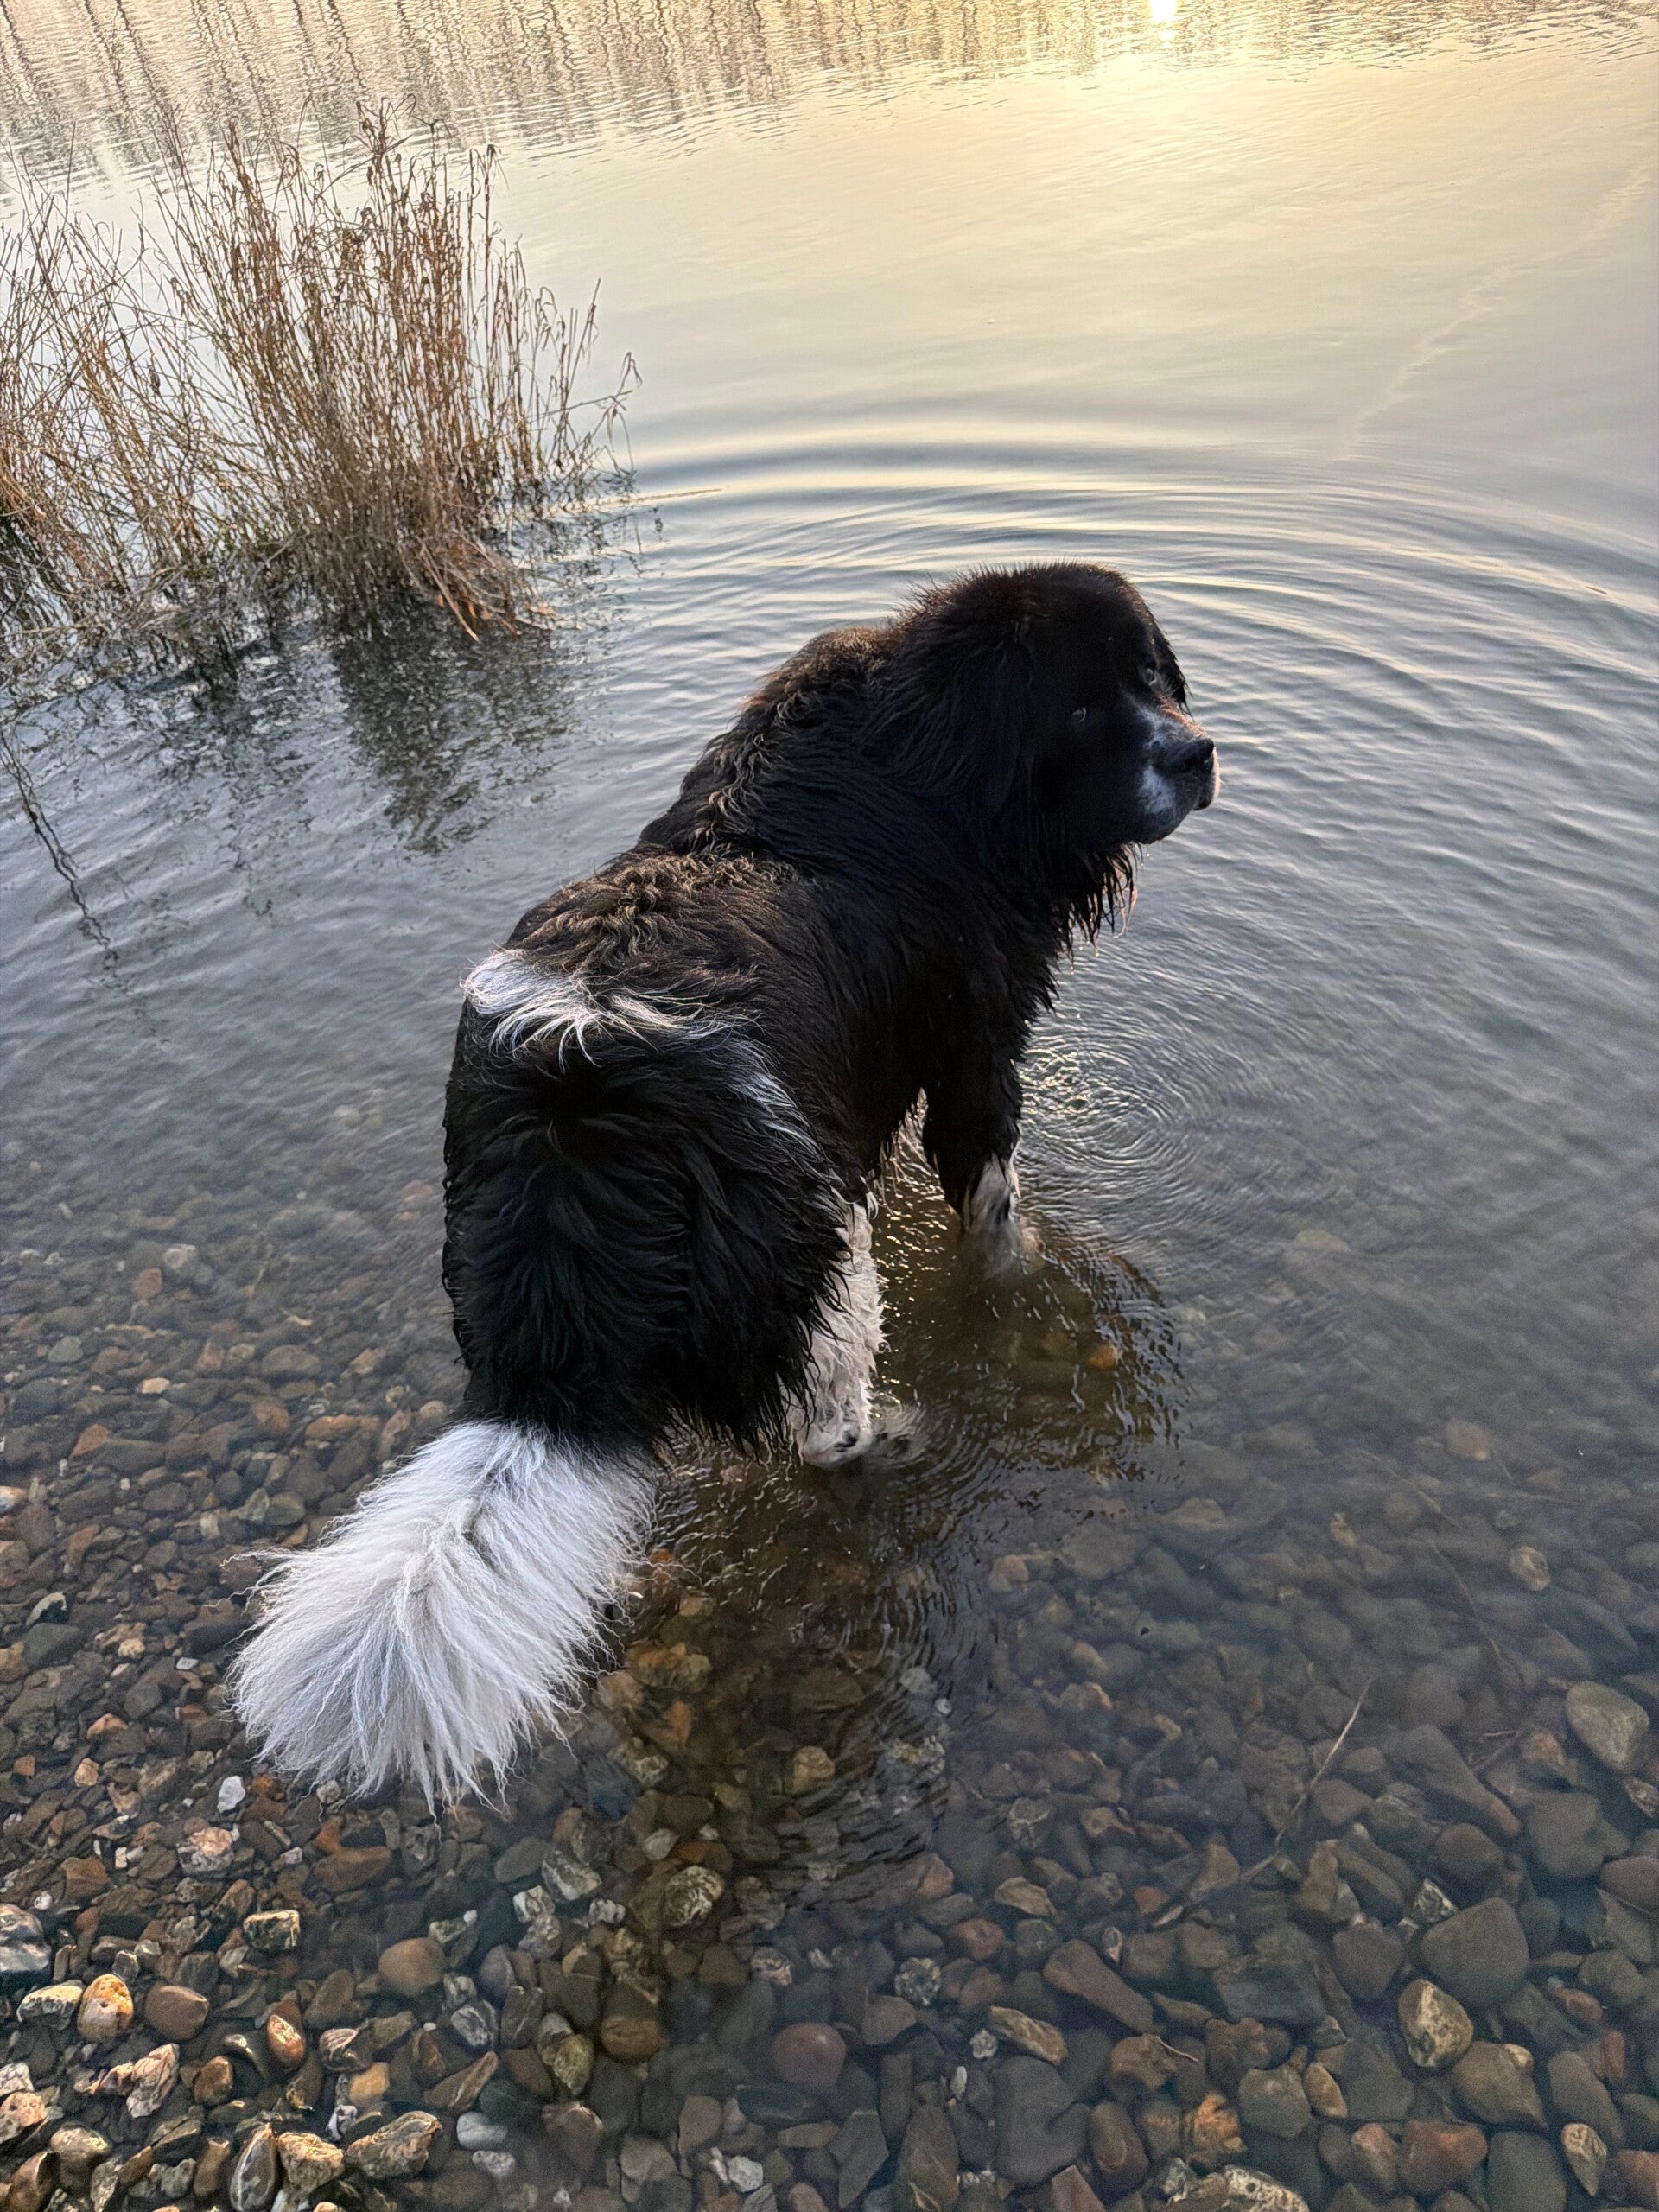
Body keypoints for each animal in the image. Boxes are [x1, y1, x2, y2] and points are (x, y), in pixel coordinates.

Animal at [230, 563, 1217, 1800]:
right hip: (815, 1261)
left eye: (1154, 677)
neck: (924, 753)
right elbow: (993, 1202)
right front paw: (1019, 1283)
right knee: (826, 1420)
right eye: (1085, 707)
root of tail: (573, 1182)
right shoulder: (976, 1045)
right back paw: (899, 1436)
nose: (1199, 752)